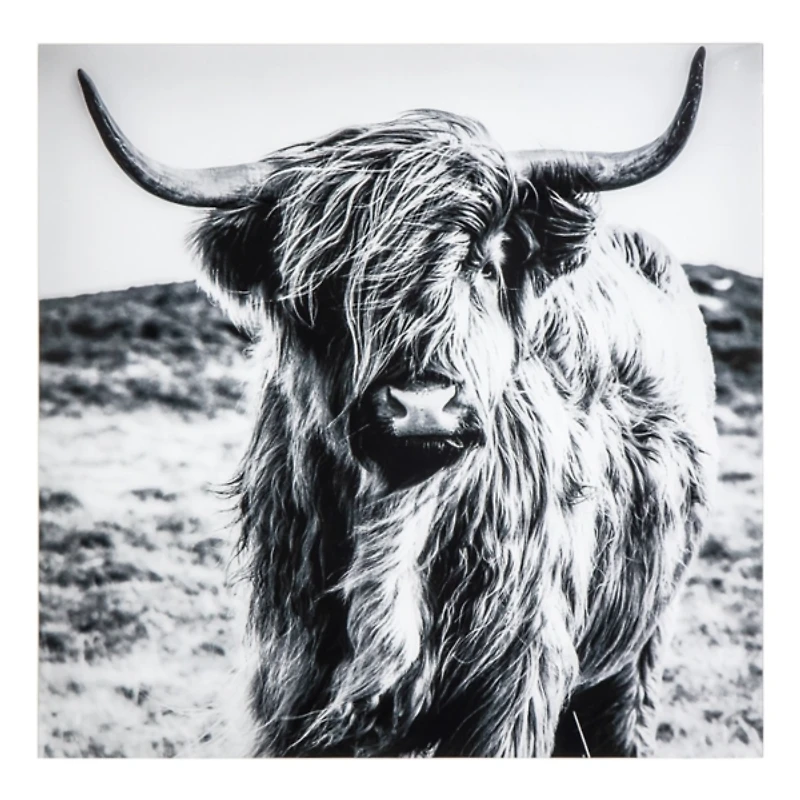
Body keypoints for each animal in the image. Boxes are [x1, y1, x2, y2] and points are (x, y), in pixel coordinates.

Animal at [78, 47, 717, 757]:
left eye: (485, 263)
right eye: (323, 286)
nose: (422, 404)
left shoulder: (516, 684)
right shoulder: (289, 683)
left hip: (641, 646)